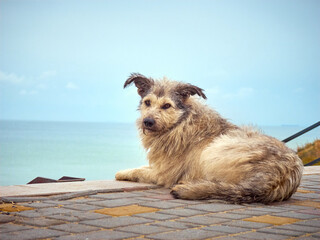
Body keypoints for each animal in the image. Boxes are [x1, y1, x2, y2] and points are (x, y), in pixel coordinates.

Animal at [115, 72, 302, 202]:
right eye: (147, 102)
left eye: (167, 106)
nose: (147, 122)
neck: (181, 123)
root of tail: (278, 176)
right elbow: (142, 167)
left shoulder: (164, 174)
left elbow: (139, 170)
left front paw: (122, 172)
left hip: (214, 150)